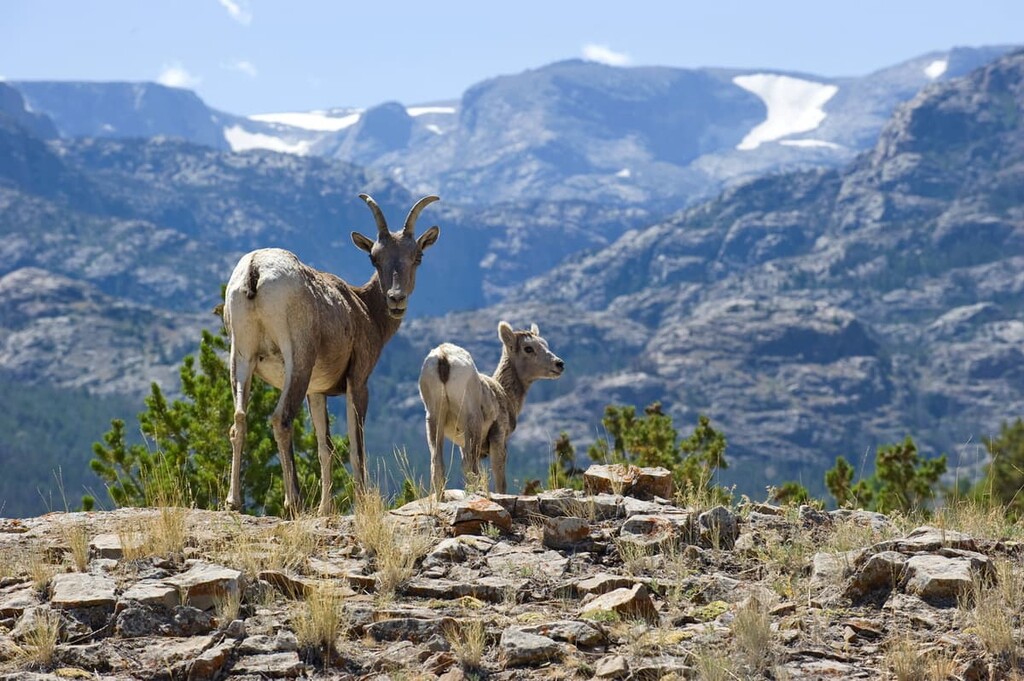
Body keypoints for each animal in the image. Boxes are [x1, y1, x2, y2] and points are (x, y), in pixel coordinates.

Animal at [222, 193, 441, 515]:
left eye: (417, 256)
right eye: (374, 258)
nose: (396, 300)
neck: (364, 309)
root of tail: (255, 269)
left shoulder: (317, 392)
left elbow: (324, 447)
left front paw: (325, 508)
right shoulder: (357, 381)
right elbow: (356, 446)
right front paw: (361, 502)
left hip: (241, 358)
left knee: (239, 420)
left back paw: (233, 502)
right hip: (297, 360)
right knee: (281, 419)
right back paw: (294, 502)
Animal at [418, 321, 565, 498]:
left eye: (545, 344)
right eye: (528, 348)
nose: (559, 364)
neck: (506, 394)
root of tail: (443, 357)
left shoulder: (461, 443)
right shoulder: (498, 435)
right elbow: (499, 477)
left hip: (433, 417)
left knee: (437, 464)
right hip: (471, 419)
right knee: (469, 465)